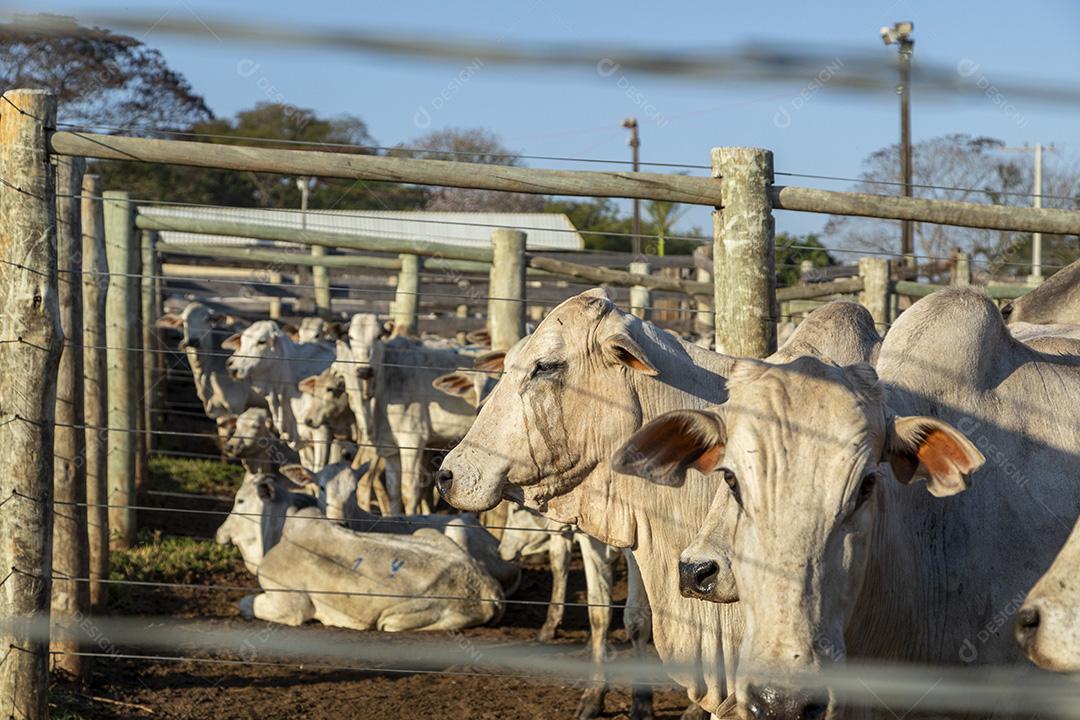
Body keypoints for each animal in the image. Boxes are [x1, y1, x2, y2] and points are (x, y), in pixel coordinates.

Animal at [215, 472, 504, 632]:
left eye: (240, 500)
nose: (219, 532)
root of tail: (487, 587)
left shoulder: (288, 604)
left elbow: (245, 603)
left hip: (394, 619)